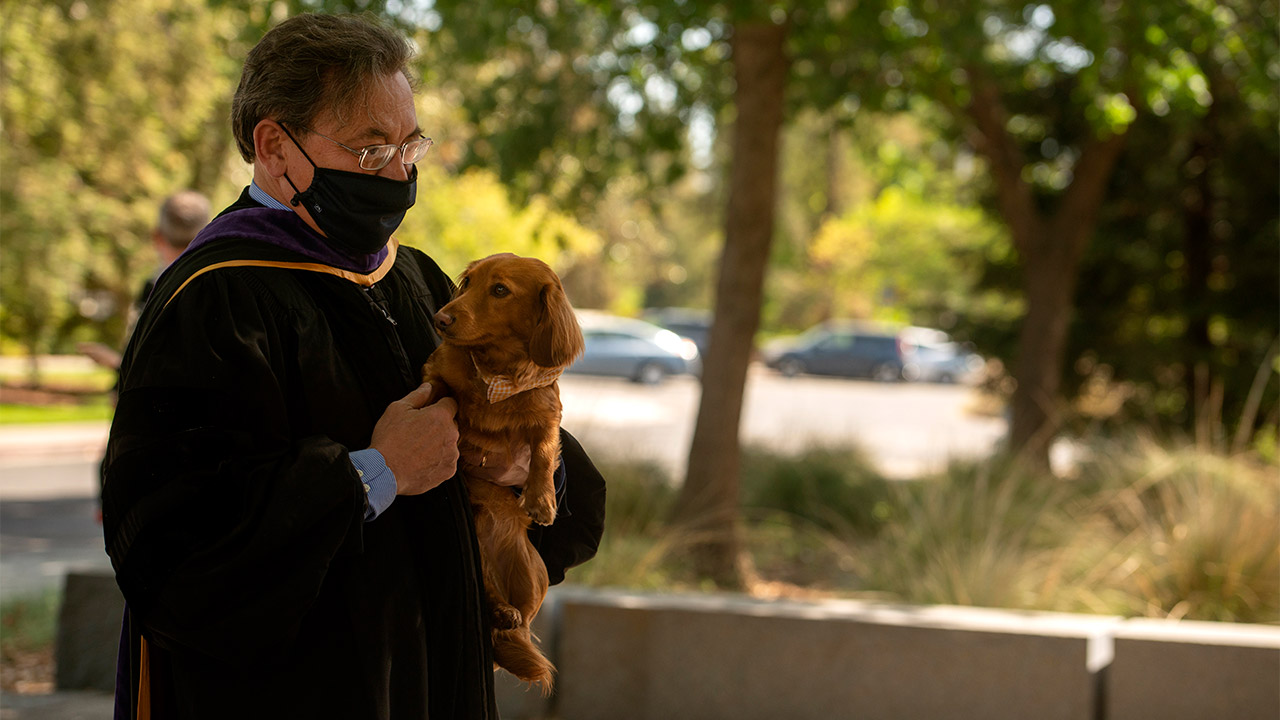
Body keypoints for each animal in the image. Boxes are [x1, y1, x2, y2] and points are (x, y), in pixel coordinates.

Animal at [417, 249, 583, 686]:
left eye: (500, 290)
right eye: (468, 282)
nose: (440, 319)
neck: (499, 372)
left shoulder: (547, 412)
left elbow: (544, 450)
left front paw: (542, 500)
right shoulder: (437, 374)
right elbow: (439, 391)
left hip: (534, 572)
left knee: (521, 621)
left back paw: (507, 618)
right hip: (477, 554)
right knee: (491, 599)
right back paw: (498, 612)